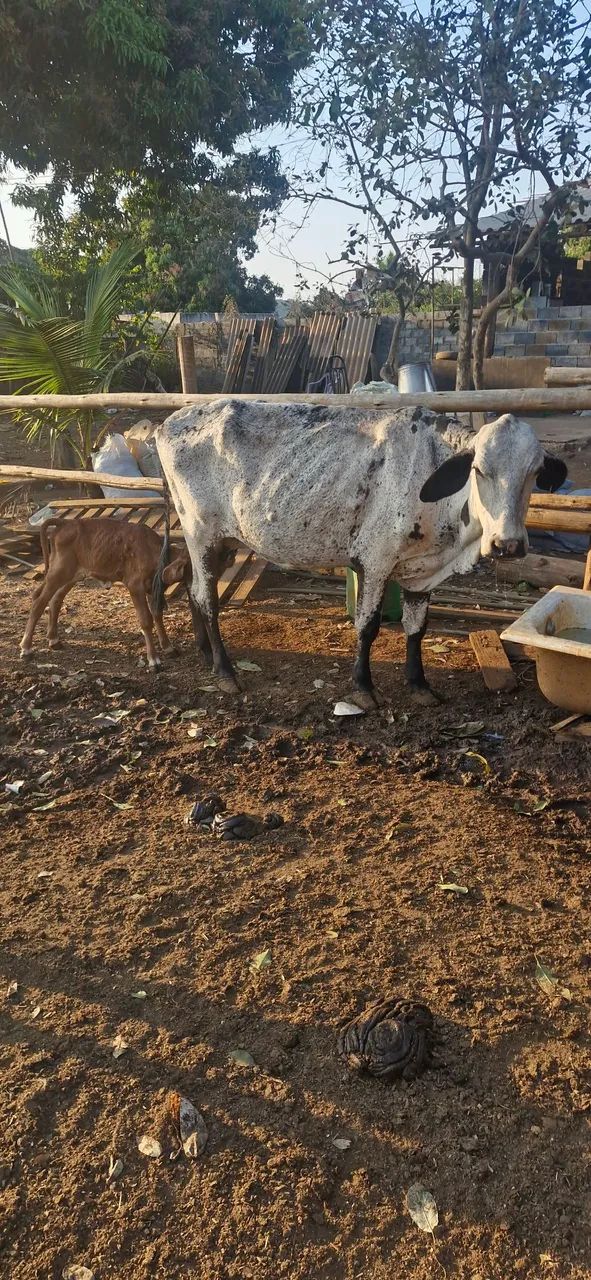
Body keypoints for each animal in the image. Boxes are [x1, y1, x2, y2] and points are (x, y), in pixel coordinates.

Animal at [20, 518, 190, 670]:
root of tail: (66, 522)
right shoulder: (135, 586)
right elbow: (146, 620)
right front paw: (154, 660)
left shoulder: (153, 589)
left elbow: (157, 615)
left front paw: (168, 647)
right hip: (59, 572)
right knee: (38, 602)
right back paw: (26, 648)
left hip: (73, 575)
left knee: (55, 599)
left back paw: (54, 639)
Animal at [154, 400, 567, 704]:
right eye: (479, 469)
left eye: (535, 472)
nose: (508, 544)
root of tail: (168, 423)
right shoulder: (376, 561)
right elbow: (367, 627)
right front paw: (364, 688)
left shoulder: (421, 572)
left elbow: (416, 629)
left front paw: (419, 684)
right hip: (200, 532)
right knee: (206, 598)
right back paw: (225, 672)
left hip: (223, 540)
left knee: (191, 587)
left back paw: (205, 653)